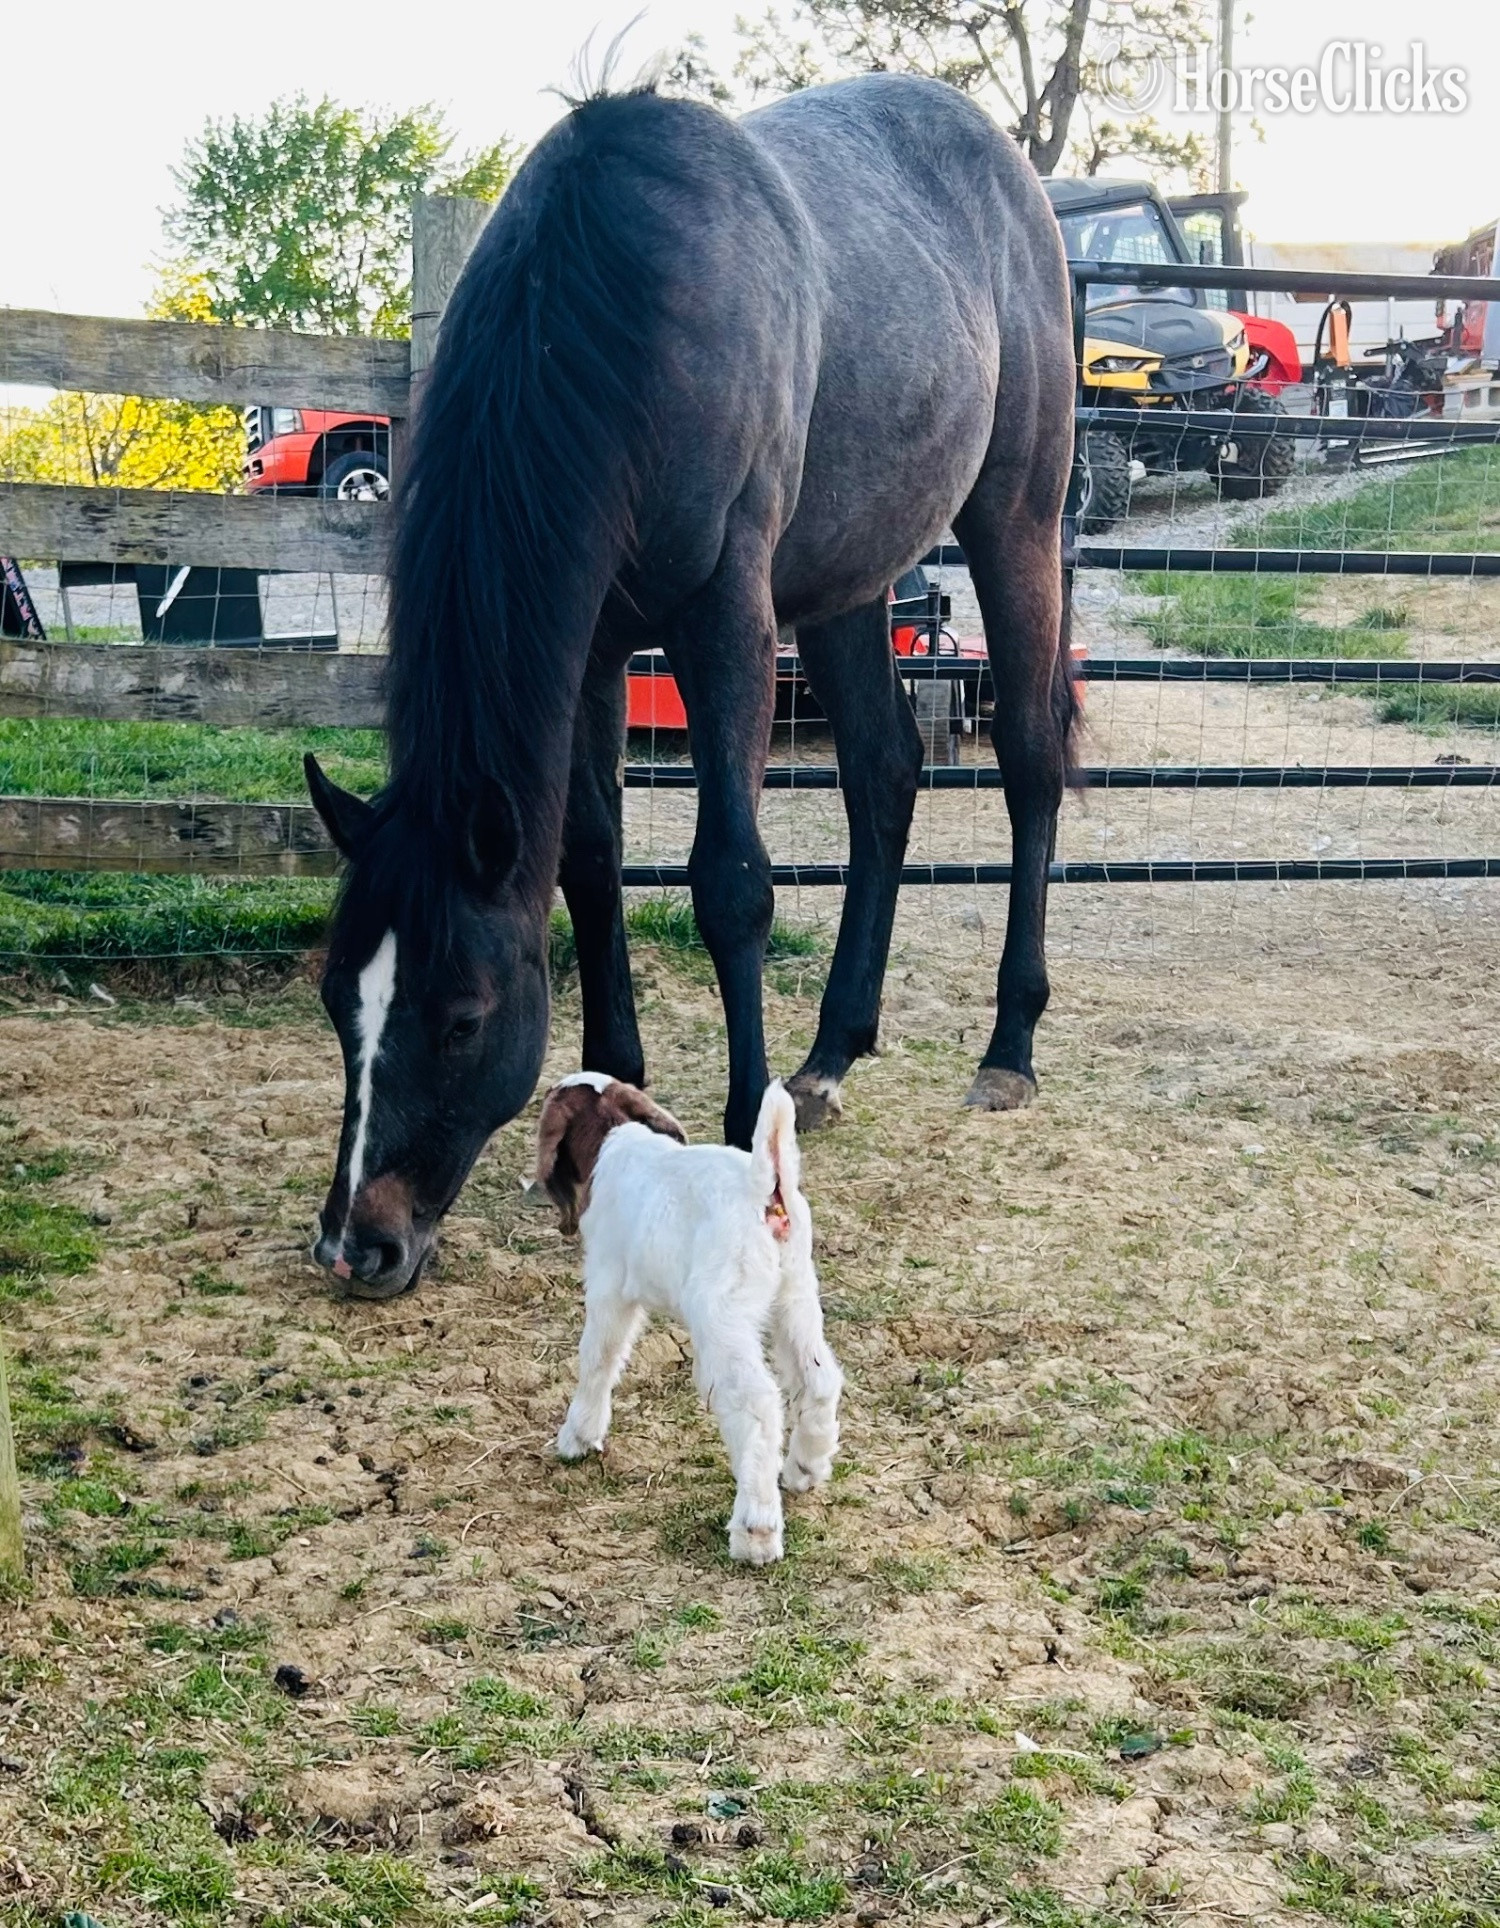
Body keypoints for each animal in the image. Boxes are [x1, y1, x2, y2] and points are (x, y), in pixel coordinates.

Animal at [304, 72, 1077, 1300]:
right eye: (340, 999)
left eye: (464, 1018)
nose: (356, 1244)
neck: (630, 315)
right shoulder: (597, 645)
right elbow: (588, 861)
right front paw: (609, 1093)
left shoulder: (725, 621)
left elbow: (731, 881)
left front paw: (741, 1117)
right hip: (853, 575)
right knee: (884, 775)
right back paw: (831, 1054)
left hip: (1016, 519)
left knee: (1031, 763)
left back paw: (1009, 1047)